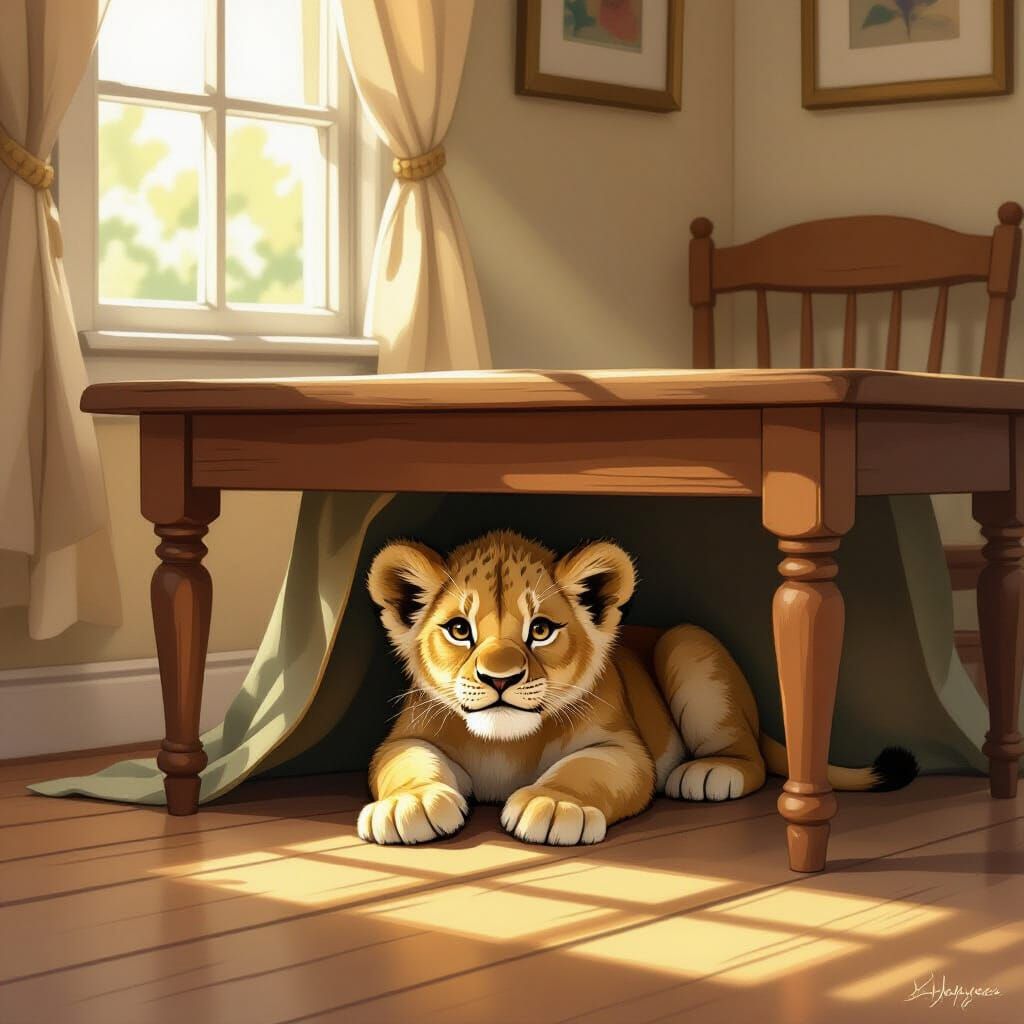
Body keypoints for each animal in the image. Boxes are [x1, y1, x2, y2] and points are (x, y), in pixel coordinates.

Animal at [360, 530, 916, 846]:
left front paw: (553, 805)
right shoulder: (405, 738)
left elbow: (582, 772)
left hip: (687, 645)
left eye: (541, 629)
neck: (504, 743)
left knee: (751, 757)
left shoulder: (622, 748)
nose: (500, 679)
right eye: (460, 630)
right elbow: (407, 763)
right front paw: (410, 805)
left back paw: (709, 773)